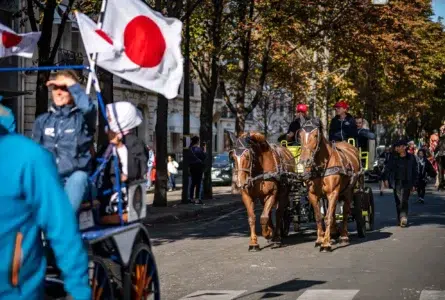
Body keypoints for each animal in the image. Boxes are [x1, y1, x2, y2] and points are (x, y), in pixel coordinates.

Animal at [296, 118, 362, 252]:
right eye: (300, 136)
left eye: (316, 135)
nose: (304, 161)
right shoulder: (313, 194)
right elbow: (319, 217)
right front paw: (320, 240)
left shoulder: (333, 193)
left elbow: (328, 218)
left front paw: (326, 243)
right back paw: (334, 232)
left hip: (348, 191)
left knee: (345, 211)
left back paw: (343, 236)